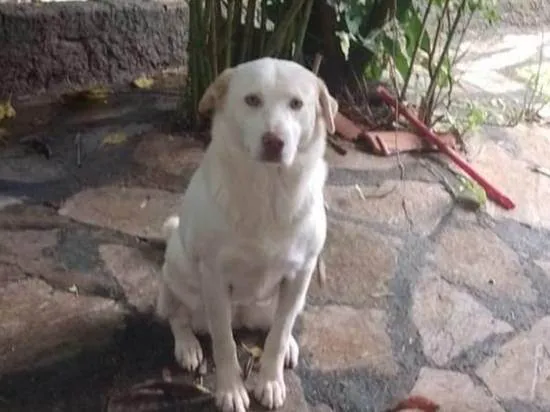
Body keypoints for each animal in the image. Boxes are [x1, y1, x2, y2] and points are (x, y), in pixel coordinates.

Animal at [157, 57, 338, 412]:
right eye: (252, 100)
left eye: (297, 104)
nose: (274, 141)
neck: (268, 190)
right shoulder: (213, 277)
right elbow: (224, 343)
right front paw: (230, 390)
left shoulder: (301, 272)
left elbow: (278, 336)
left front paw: (270, 381)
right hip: (176, 270)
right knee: (177, 315)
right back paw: (187, 346)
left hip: (294, 295)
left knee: (280, 322)